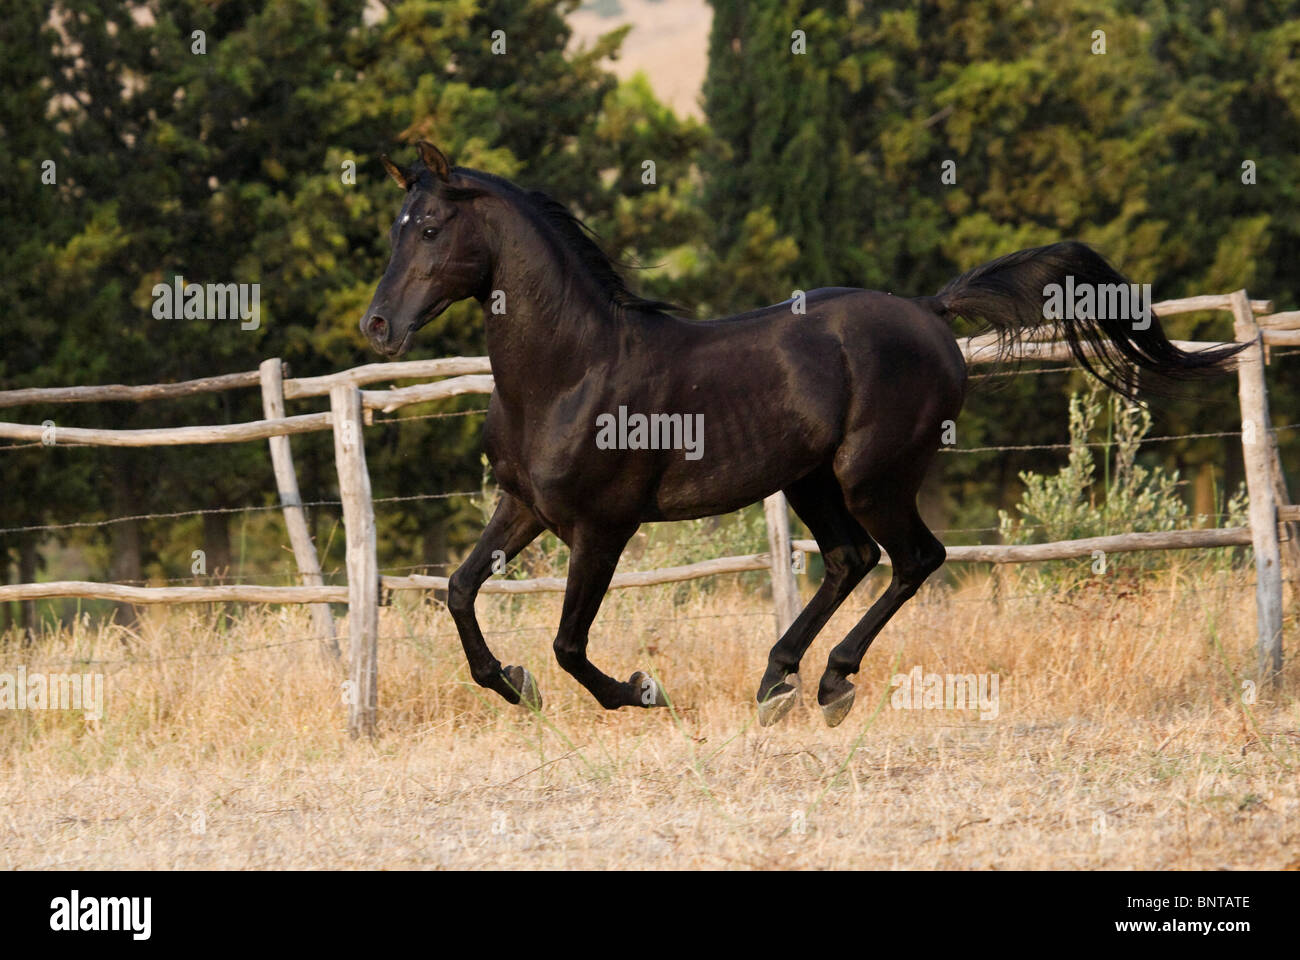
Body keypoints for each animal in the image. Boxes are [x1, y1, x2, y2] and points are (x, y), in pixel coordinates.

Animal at [360, 140, 1243, 727]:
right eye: (394, 227)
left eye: (431, 226)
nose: (377, 326)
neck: (571, 372)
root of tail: (929, 312)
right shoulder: (523, 508)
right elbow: (460, 591)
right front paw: (514, 685)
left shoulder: (602, 526)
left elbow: (569, 643)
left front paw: (642, 691)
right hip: (810, 479)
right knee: (853, 559)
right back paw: (779, 682)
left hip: (871, 475)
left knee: (913, 558)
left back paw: (830, 684)